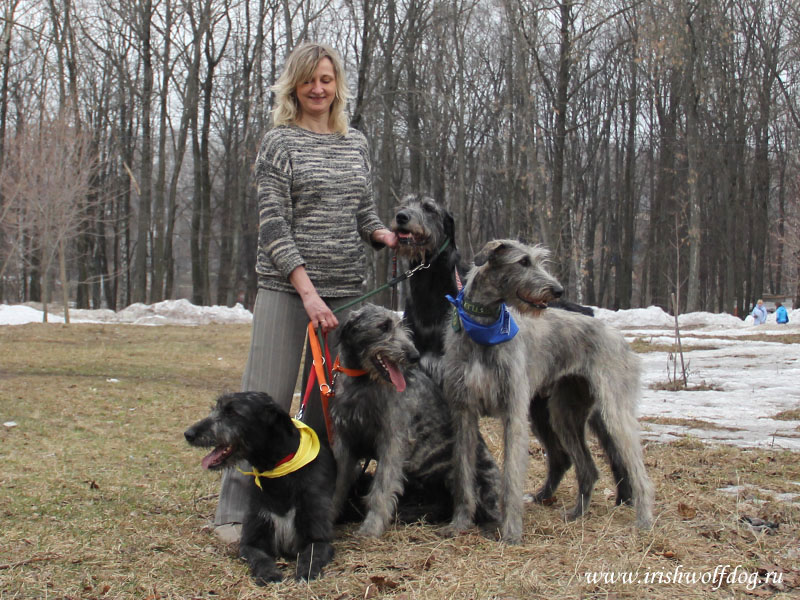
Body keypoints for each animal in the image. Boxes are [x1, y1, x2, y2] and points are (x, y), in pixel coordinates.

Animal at [184, 392, 334, 584]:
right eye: (215, 408)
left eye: (232, 412)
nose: (188, 434)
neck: (279, 473)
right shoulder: (251, 542)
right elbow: (260, 557)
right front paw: (268, 573)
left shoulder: (319, 539)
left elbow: (311, 556)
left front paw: (305, 573)